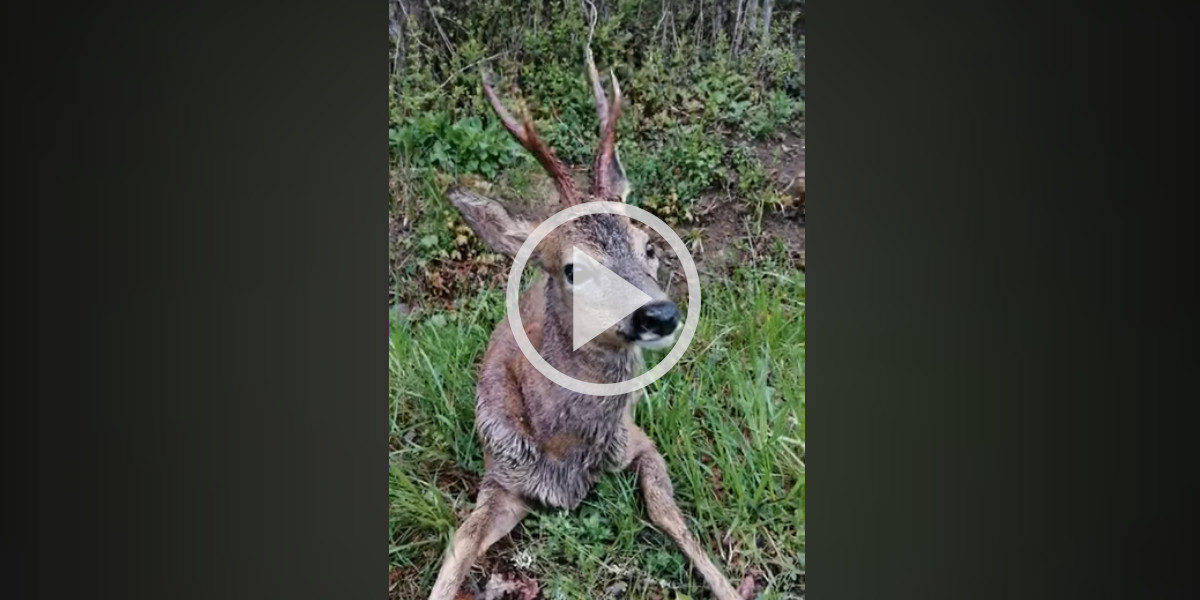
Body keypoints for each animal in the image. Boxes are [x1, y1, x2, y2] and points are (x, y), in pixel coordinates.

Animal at [432, 46, 744, 600]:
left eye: (649, 246)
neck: (565, 454)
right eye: (574, 269)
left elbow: (669, 515)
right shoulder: (500, 475)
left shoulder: (637, 440)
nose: (660, 314)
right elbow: (460, 542)